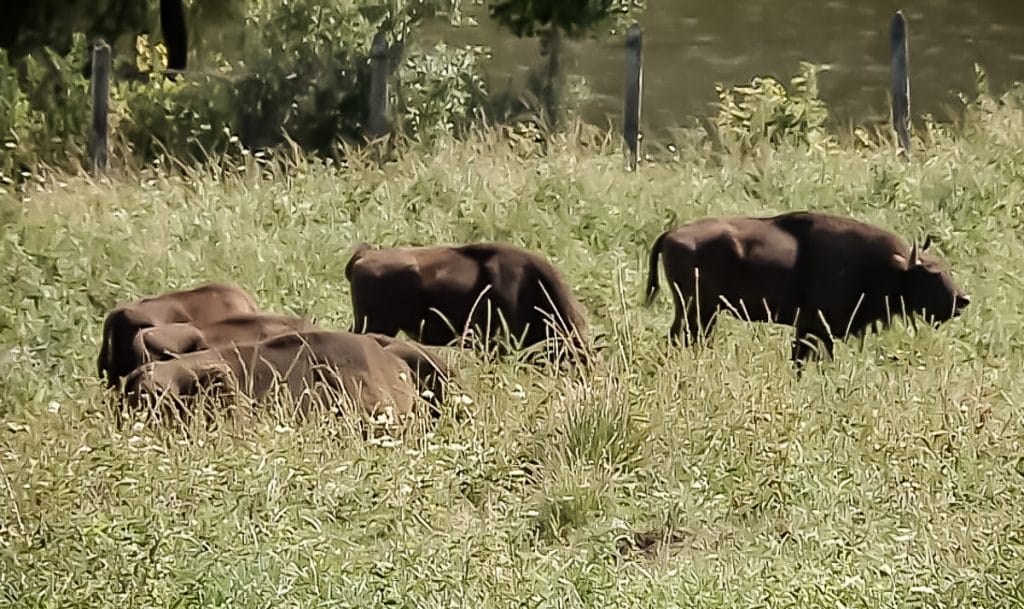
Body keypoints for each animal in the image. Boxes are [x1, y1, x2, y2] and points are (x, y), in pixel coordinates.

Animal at [643, 210, 970, 362]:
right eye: (929, 274)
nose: (961, 300)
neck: (887, 265)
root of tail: (671, 234)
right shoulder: (815, 327)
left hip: (703, 313)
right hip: (698, 310)